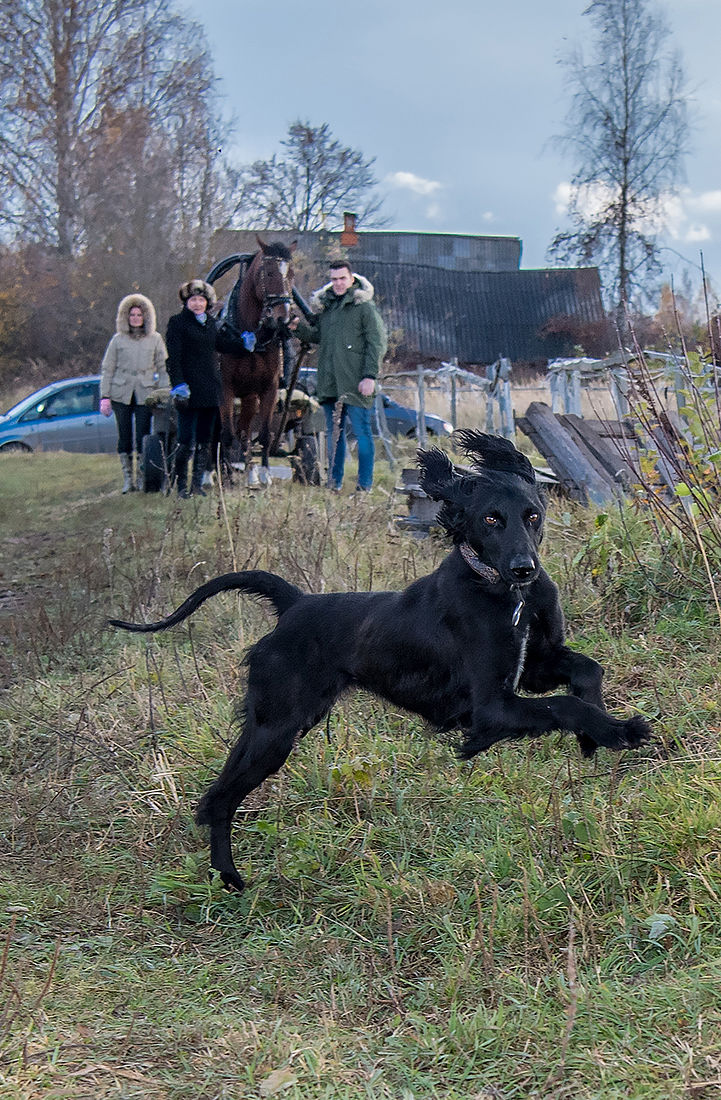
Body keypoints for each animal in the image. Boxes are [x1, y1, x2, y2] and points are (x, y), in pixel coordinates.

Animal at [110, 431, 651, 893]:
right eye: (490, 519)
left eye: (533, 514)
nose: (525, 568)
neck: (504, 593)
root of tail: (294, 603)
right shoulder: (493, 705)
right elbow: (565, 705)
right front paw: (619, 730)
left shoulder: (532, 667)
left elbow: (587, 673)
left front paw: (594, 735)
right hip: (278, 728)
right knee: (219, 800)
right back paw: (231, 881)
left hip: (276, 724)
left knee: (215, 797)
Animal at [215, 238, 295, 488]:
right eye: (269, 273)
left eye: (292, 274)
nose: (283, 318)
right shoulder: (225, 388)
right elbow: (226, 434)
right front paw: (227, 475)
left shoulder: (268, 388)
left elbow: (265, 434)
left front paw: (265, 474)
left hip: (250, 398)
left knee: (244, 431)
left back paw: (248, 468)